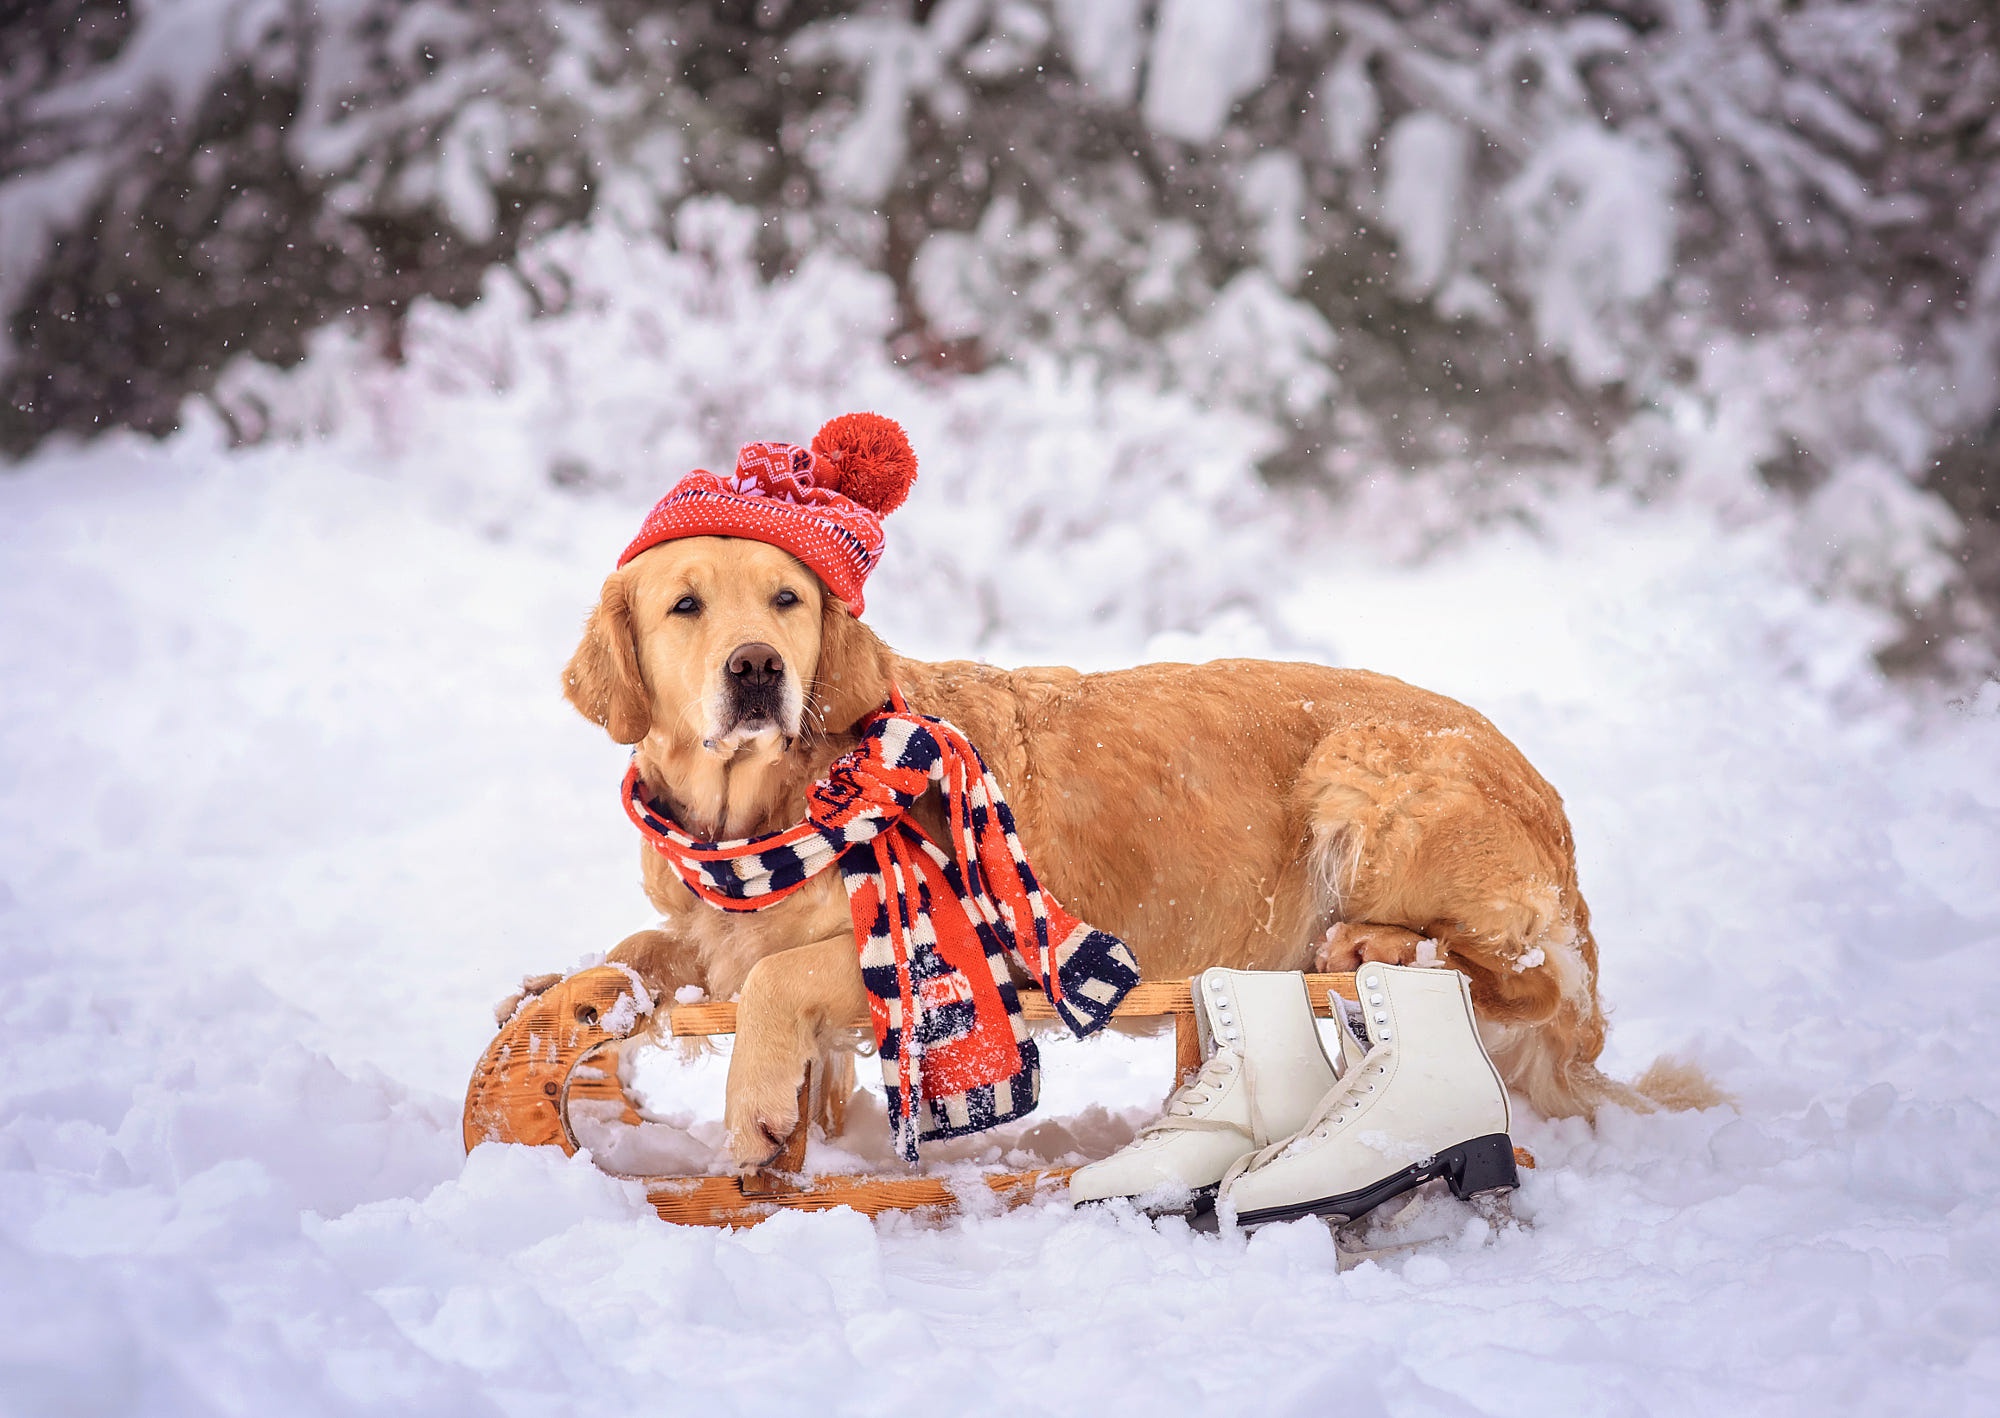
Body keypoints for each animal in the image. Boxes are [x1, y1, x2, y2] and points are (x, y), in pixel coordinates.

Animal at [564, 536, 1688, 1168]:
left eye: (786, 600)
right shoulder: (704, 927)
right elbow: (641, 951)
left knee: (1520, 979)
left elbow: (776, 981)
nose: (756, 667)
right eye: (685, 605)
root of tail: (1546, 802)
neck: (764, 815)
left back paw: (1374, 947)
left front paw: (753, 1108)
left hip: (1366, 772)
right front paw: (583, 994)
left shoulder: (952, 962)